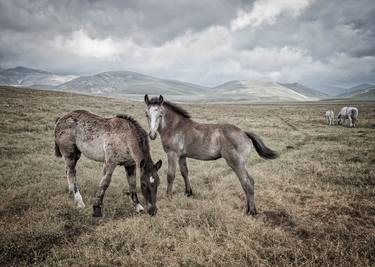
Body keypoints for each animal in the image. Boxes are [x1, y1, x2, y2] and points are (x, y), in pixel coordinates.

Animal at [144, 94, 280, 216]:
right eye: (146, 114)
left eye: (160, 114)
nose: (151, 135)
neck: (175, 127)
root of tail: (244, 133)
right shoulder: (182, 156)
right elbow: (184, 173)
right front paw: (188, 192)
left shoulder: (172, 154)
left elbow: (170, 175)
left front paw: (169, 196)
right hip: (242, 164)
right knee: (249, 181)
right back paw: (248, 209)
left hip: (236, 163)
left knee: (247, 182)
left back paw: (251, 211)